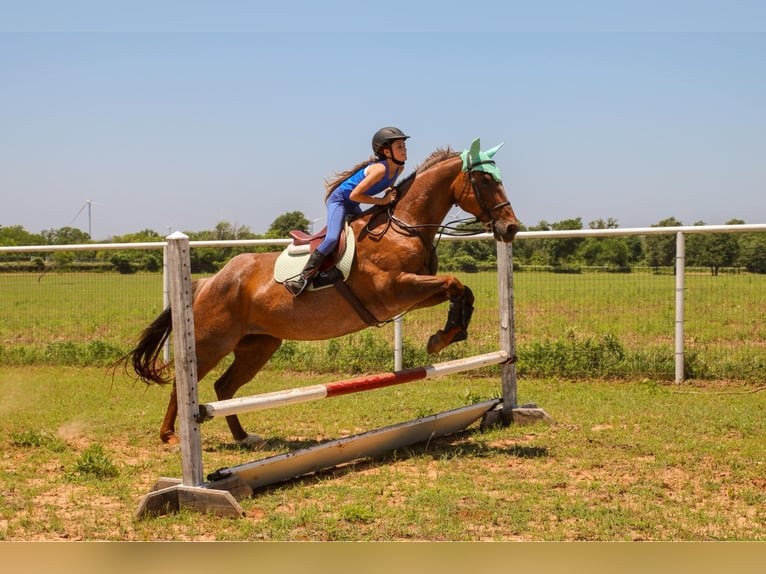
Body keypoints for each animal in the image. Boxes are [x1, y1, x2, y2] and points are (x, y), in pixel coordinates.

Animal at [117, 138, 520, 446]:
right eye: (484, 180)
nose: (511, 228)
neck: (403, 226)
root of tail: (208, 282)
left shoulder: (414, 293)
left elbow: (461, 290)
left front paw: (447, 335)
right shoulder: (394, 290)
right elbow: (454, 284)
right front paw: (442, 338)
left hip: (258, 345)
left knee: (224, 387)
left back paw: (244, 437)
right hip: (211, 341)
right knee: (185, 384)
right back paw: (170, 435)